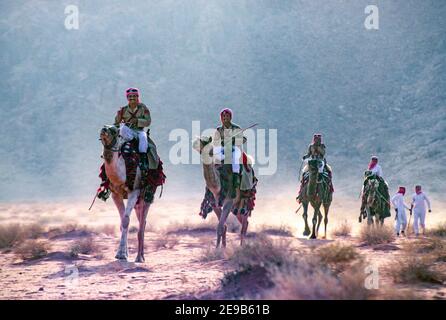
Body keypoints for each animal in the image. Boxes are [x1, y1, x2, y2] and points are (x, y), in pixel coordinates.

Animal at [99, 125, 152, 262]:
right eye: (105, 126)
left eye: (114, 130)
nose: (103, 129)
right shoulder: (115, 194)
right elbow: (122, 222)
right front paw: (123, 253)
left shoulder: (134, 191)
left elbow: (126, 220)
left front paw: (122, 254)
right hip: (138, 202)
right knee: (142, 221)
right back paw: (140, 255)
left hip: (146, 195)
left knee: (142, 223)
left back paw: (140, 257)